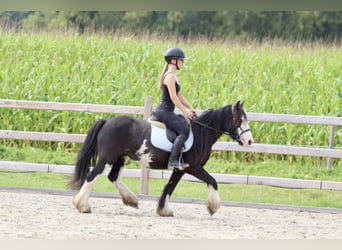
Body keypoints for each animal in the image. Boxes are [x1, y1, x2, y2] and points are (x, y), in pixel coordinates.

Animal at [68, 100, 252, 216]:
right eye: (239, 120)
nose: (249, 141)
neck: (201, 134)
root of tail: (107, 122)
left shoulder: (180, 169)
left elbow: (169, 187)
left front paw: (164, 210)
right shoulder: (193, 167)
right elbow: (212, 181)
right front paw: (213, 207)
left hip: (121, 158)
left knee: (113, 177)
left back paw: (131, 200)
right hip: (107, 158)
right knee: (93, 176)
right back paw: (82, 206)